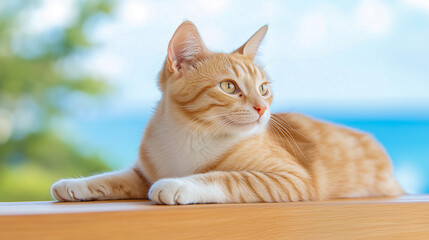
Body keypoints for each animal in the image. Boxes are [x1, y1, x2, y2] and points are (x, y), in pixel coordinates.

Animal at [50, 21, 402, 204]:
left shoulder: (293, 179)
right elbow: (115, 177)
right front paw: (77, 184)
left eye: (263, 88)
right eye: (229, 86)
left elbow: (229, 177)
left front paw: (180, 184)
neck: (189, 134)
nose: (263, 108)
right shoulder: (144, 170)